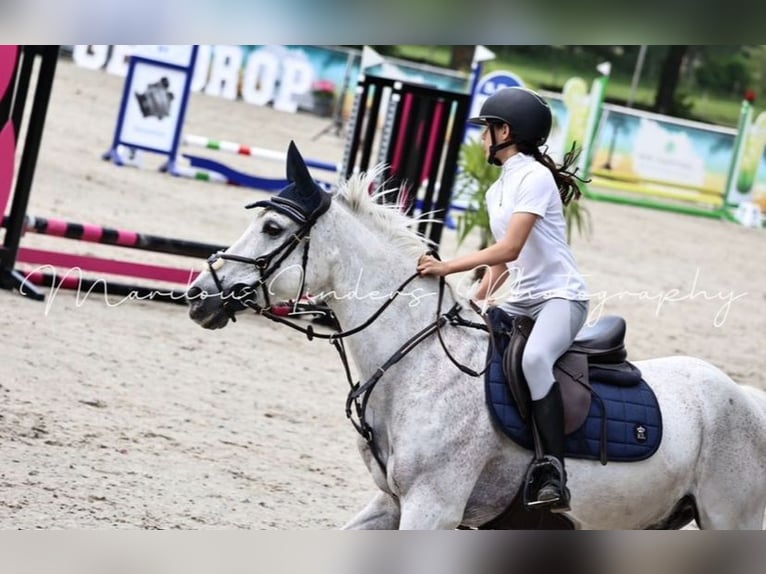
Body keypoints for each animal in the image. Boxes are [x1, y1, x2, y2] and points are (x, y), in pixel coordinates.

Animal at [189, 144, 766, 532]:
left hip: (729, 520)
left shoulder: (432, 508)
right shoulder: (391, 504)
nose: (199, 295)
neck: (415, 365)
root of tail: (748, 397)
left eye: (271, 229)